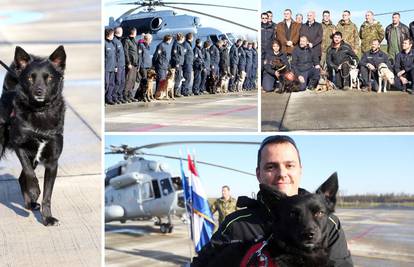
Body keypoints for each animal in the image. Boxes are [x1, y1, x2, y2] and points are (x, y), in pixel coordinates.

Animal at [0, 45, 66, 226]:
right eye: (30, 77)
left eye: (49, 77)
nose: (39, 91)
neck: (40, 111)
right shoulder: (20, 147)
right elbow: (30, 174)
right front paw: (35, 190)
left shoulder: (52, 162)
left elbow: (47, 195)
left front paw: (48, 218)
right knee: (25, 175)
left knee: (21, 178)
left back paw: (30, 204)